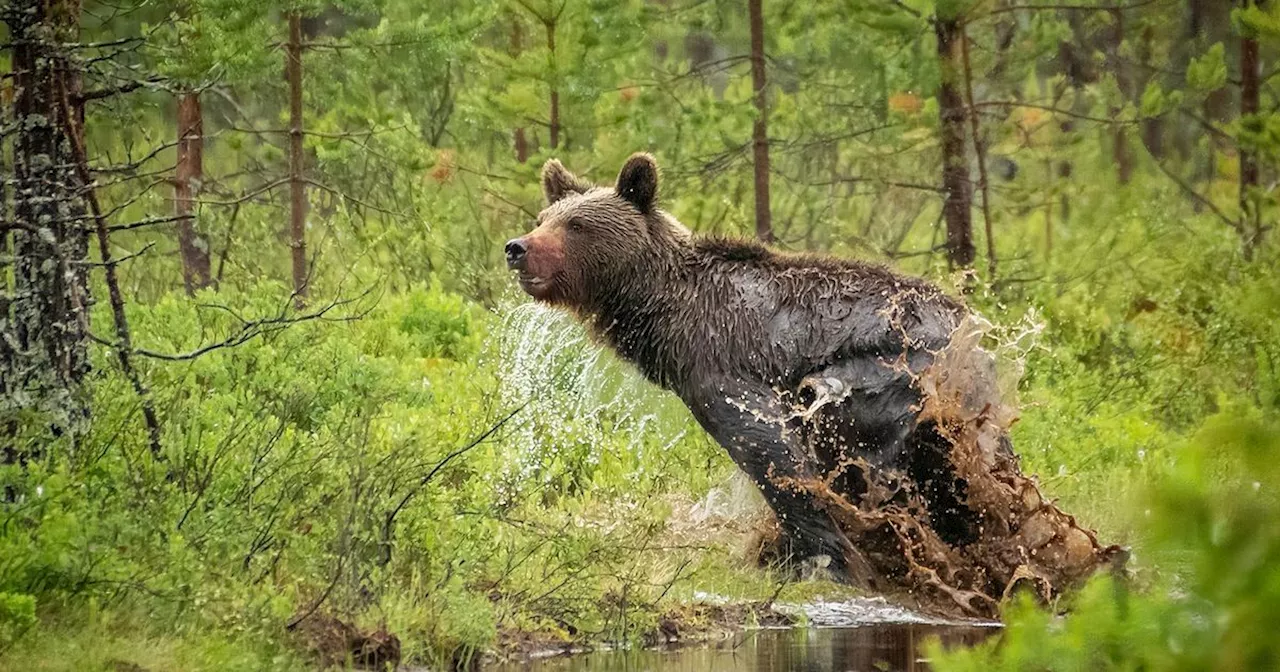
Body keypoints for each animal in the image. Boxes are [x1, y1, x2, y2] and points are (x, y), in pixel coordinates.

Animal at [509, 151, 1121, 611]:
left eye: (576, 225)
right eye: (543, 216)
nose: (517, 248)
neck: (664, 309)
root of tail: (973, 329)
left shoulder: (721, 363)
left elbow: (769, 448)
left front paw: (822, 558)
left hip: (894, 370)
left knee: (850, 425)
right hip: (953, 414)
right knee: (964, 478)